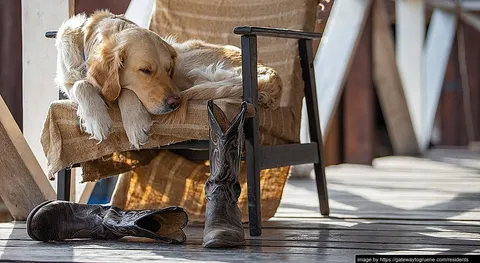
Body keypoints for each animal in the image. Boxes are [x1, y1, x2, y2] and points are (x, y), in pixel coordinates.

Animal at [55, 10, 282, 150]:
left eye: (168, 69)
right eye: (145, 70)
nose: (174, 103)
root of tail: (270, 74)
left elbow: (125, 90)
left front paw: (135, 123)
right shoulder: (70, 80)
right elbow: (80, 84)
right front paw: (97, 119)